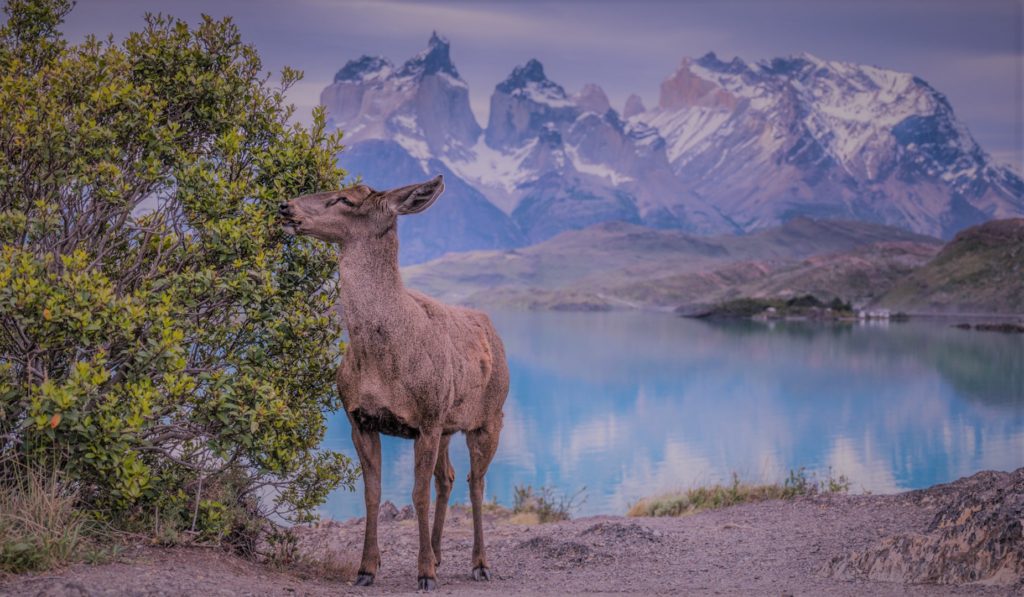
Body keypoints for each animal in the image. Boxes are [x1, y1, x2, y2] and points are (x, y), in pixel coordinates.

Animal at [280, 175, 507, 589]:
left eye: (345, 199)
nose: (285, 206)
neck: (380, 361)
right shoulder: (361, 420)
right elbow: (373, 494)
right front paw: (367, 569)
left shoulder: (426, 420)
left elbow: (417, 495)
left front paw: (424, 575)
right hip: (448, 425)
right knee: (448, 478)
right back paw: (438, 553)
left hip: (488, 417)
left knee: (476, 483)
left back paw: (479, 563)